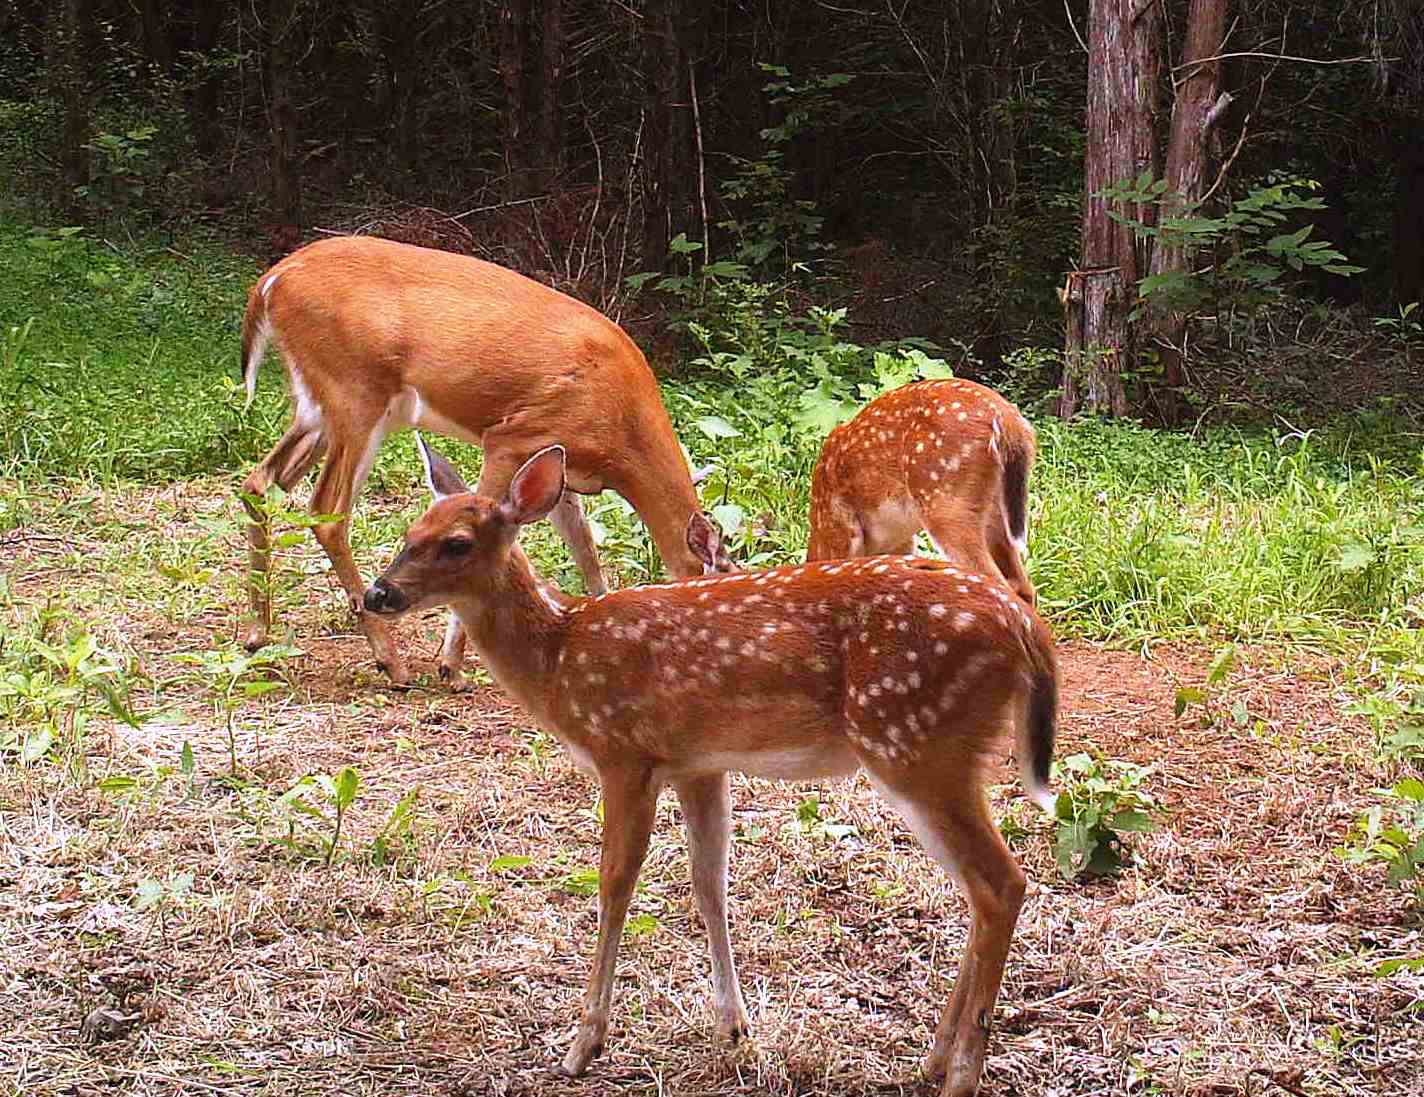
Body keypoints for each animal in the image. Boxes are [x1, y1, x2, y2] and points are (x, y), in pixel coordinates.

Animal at [237, 234, 728, 686]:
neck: (622, 435)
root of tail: (271, 281)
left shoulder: (559, 465)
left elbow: (585, 548)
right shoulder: (511, 437)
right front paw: (450, 666)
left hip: (318, 407)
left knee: (259, 481)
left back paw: (258, 633)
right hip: (355, 393)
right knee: (326, 510)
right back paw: (391, 662)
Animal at [362, 439, 1059, 1097]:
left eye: (456, 543)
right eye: (411, 530)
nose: (378, 593)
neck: (560, 657)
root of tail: (1025, 627)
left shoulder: (625, 752)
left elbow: (614, 883)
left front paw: (583, 1045)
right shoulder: (699, 764)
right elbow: (709, 884)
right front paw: (733, 1026)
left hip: (914, 739)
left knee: (1002, 883)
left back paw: (962, 1070)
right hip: (929, 753)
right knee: (982, 888)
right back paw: (932, 1059)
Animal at [807, 378, 1038, 606]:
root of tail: (1007, 419)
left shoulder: (839, 531)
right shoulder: (902, 544)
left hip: (945, 501)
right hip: (994, 511)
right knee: (1023, 586)